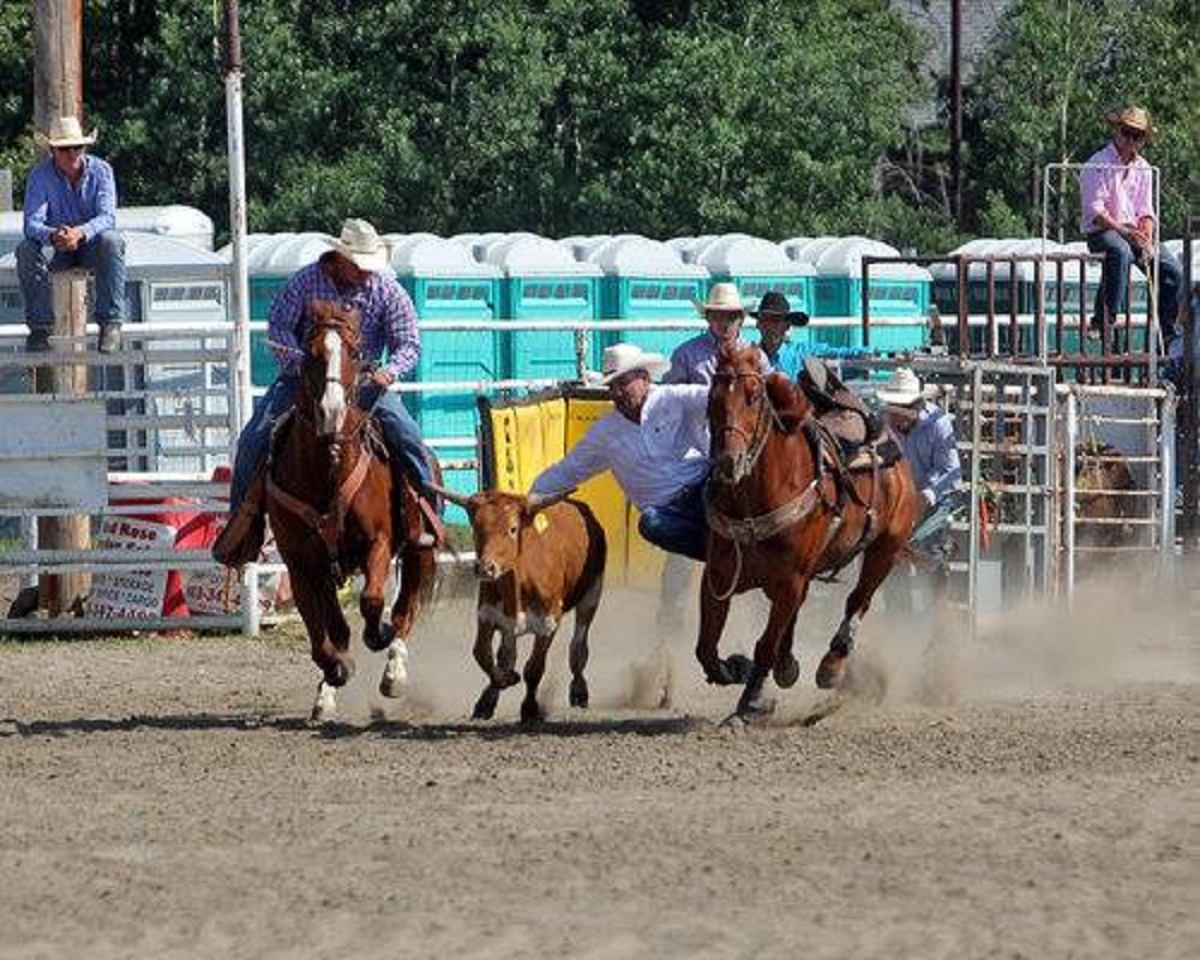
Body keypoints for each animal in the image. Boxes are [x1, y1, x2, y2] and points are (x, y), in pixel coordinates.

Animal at [266, 300, 436, 722]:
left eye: (356, 353)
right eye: (310, 353)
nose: (331, 411)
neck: (328, 469)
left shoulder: (378, 542)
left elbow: (373, 602)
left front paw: (379, 634)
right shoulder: (301, 564)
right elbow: (320, 633)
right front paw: (336, 670)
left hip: (420, 550)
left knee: (406, 609)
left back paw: (395, 672)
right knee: (338, 625)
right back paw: (327, 692)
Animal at [430, 485, 607, 723]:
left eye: (513, 529)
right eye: (477, 528)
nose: (485, 568)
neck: (518, 583)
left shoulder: (549, 622)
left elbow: (534, 668)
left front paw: (530, 708)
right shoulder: (488, 615)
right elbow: (483, 654)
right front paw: (503, 682)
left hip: (591, 596)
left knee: (578, 647)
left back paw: (579, 692)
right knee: (506, 655)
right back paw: (489, 698)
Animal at [698, 342, 921, 720]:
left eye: (753, 395)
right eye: (712, 397)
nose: (729, 463)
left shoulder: (790, 579)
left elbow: (765, 644)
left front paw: (752, 702)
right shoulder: (719, 575)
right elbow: (706, 648)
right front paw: (735, 668)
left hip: (885, 549)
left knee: (858, 599)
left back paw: (831, 664)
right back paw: (788, 665)